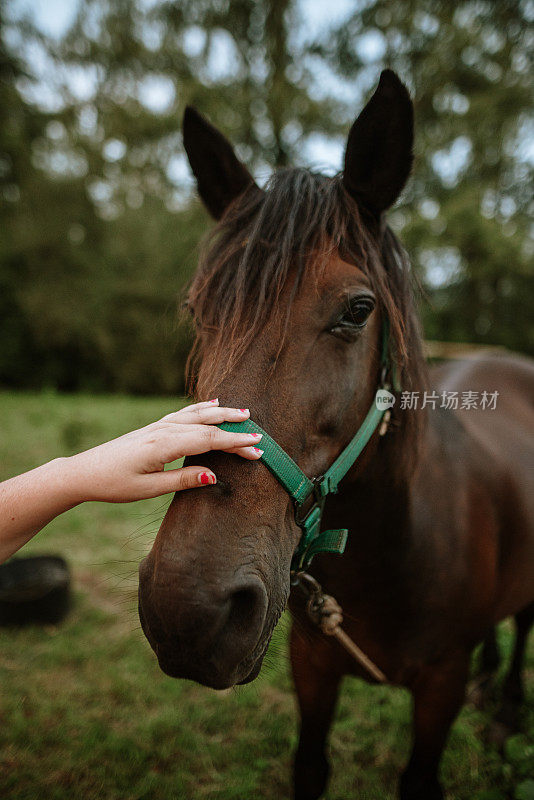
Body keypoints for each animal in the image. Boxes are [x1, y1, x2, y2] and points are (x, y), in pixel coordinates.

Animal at [139, 72, 534, 796]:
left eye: (358, 309)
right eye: (198, 309)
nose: (188, 611)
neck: (393, 553)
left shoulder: (440, 686)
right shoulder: (312, 667)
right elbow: (310, 766)